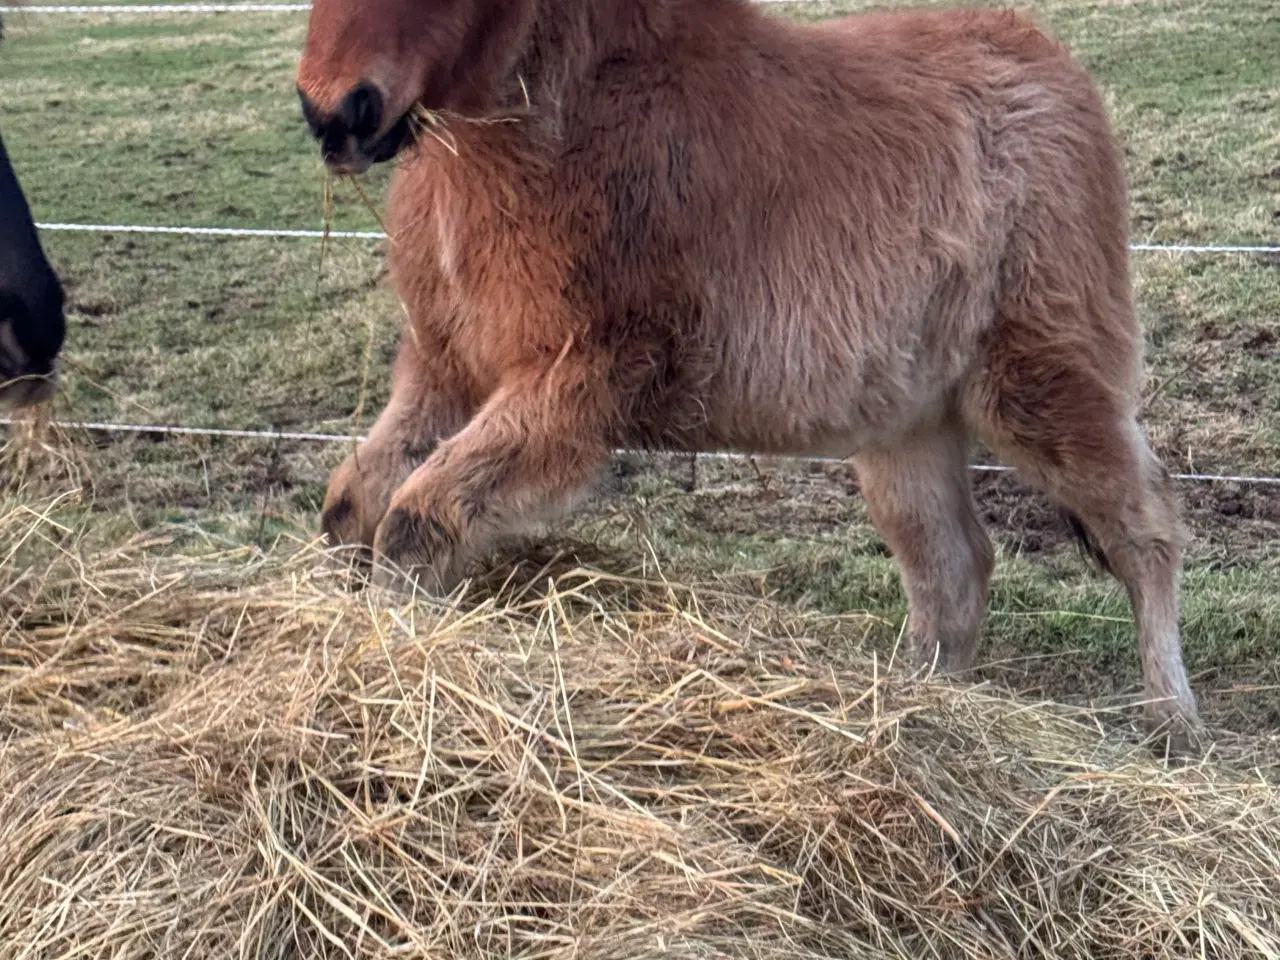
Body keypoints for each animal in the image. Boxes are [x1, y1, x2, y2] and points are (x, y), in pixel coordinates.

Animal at [296, 0, 1198, 752]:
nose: (334, 113)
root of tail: (1047, 59)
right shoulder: (443, 371)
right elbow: (352, 509)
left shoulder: (578, 382)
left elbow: (416, 525)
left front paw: (385, 668)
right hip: (907, 422)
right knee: (953, 568)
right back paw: (909, 711)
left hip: (1040, 383)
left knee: (1144, 525)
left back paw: (1174, 726)